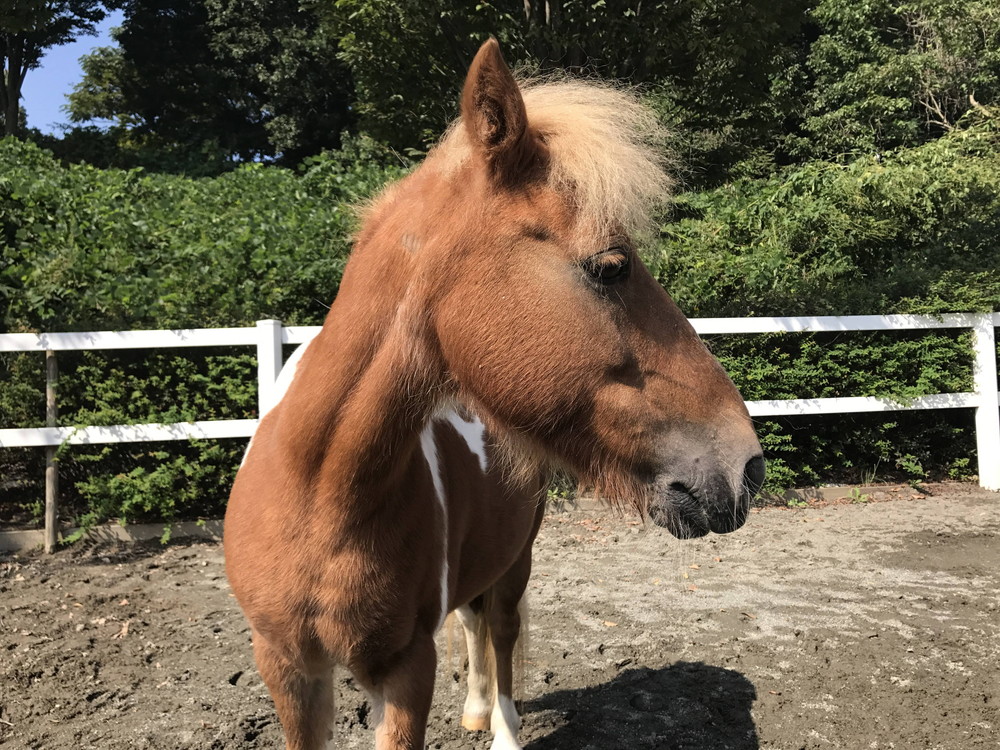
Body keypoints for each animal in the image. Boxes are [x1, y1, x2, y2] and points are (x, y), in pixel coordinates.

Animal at [225, 39, 756, 750]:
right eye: (612, 266)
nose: (746, 463)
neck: (317, 491)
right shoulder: (288, 670)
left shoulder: (405, 669)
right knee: (475, 621)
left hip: (516, 558)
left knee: (498, 631)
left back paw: (499, 722)